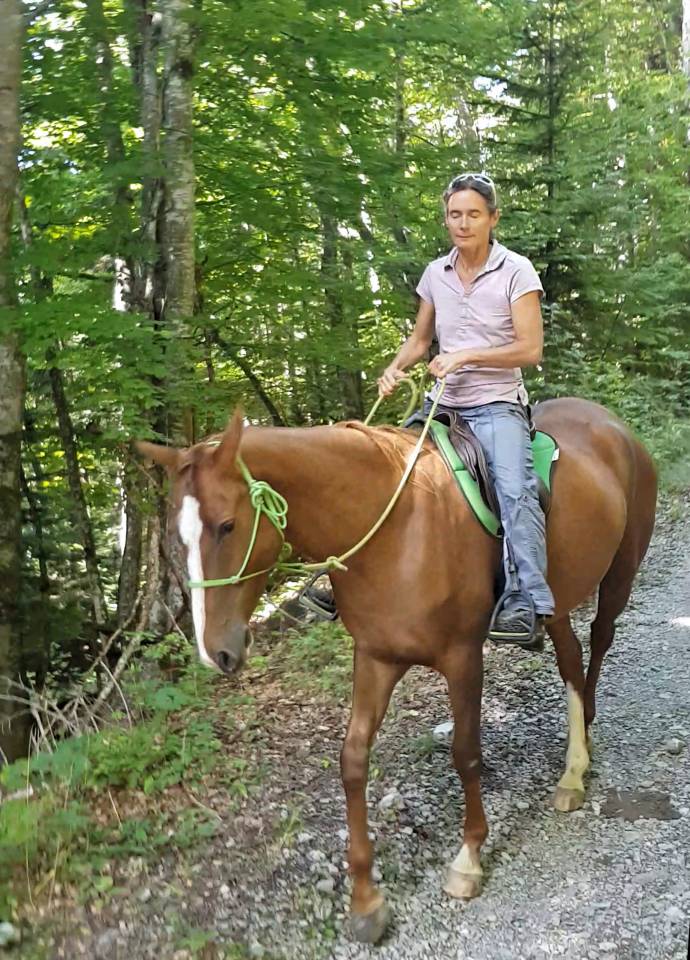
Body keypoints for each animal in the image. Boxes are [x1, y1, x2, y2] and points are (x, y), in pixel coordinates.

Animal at [138, 396, 657, 944]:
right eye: (177, 538)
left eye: (228, 525)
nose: (215, 652)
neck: (396, 531)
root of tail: (610, 423)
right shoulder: (376, 657)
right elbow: (352, 761)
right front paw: (366, 901)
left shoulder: (462, 656)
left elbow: (465, 753)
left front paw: (468, 859)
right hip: (554, 601)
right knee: (570, 657)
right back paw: (574, 767)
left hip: (619, 573)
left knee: (600, 638)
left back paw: (580, 757)